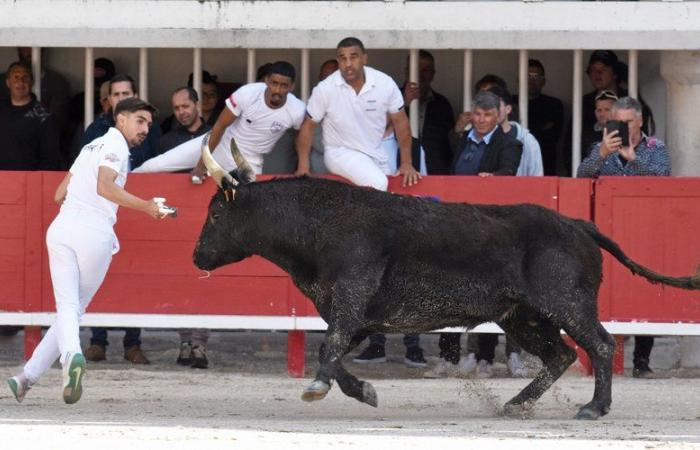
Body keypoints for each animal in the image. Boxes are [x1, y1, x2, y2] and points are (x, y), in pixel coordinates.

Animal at [193, 175, 700, 418]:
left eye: (216, 214)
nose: (197, 256)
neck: (319, 224)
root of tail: (578, 223)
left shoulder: (351, 297)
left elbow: (330, 346)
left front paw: (317, 388)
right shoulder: (359, 316)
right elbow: (332, 353)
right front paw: (364, 391)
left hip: (566, 303)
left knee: (600, 344)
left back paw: (593, 407)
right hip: (523, 316)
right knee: (560, 355)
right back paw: (516, 404)